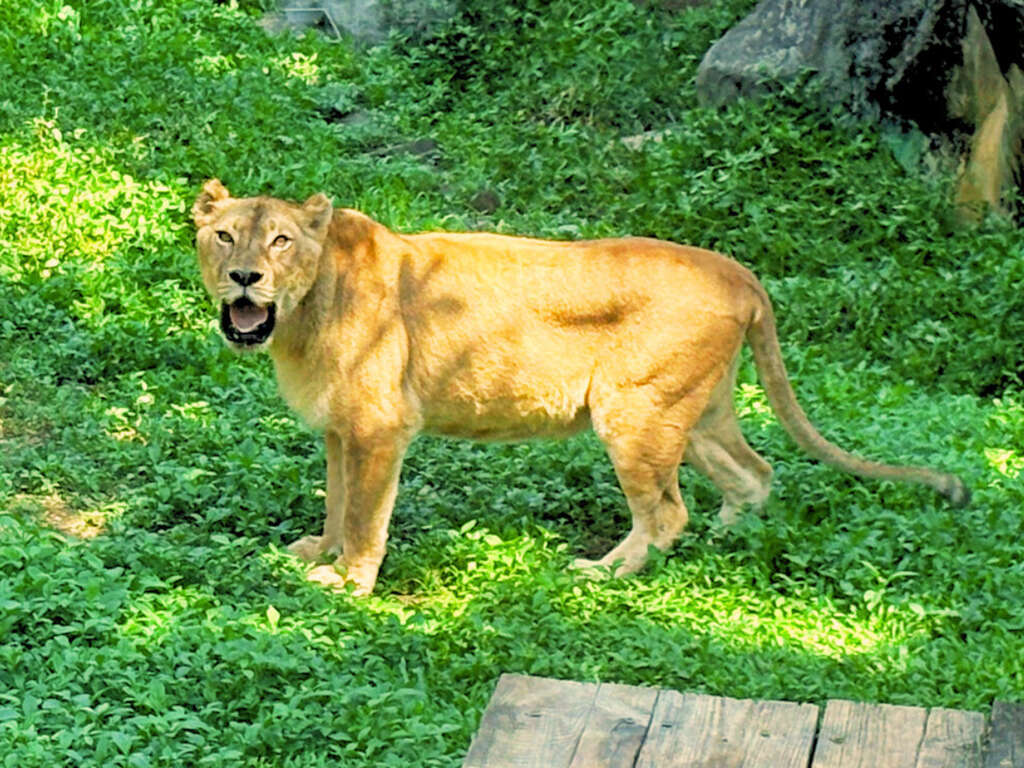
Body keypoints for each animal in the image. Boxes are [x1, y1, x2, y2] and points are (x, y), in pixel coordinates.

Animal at [192, 179, 969, 595]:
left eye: (281, 240)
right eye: (225, 236)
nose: (245, 278)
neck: (300, 315)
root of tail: (740, 272)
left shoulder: (381, 427)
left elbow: (364, 514)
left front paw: (349, 583)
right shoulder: (339, 428)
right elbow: (336, 499)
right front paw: (318, 553)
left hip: (636, 411)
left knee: (667, 512)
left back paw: (606, 572)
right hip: (700, 411)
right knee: (754, 473)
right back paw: (724, 549)